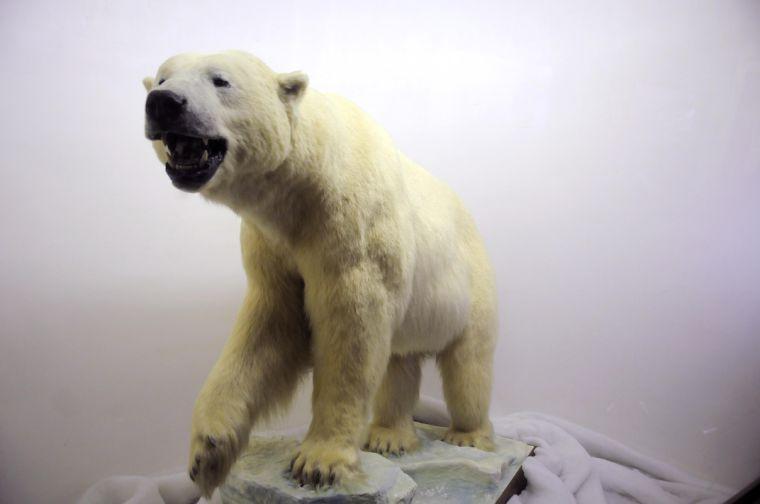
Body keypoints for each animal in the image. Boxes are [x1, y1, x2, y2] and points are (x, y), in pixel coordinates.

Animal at [142, 51, 498, 496]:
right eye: (161, 78)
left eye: (220, 80)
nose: (163, 103)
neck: (307, 181)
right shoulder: (271, 243)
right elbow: (269, 329)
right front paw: (206, 452)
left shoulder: (350, 225)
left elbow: (350, 332)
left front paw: (319, 462)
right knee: (400, 361)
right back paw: (388, 436)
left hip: (472, 284)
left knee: (469, 365)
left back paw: (468, 436)